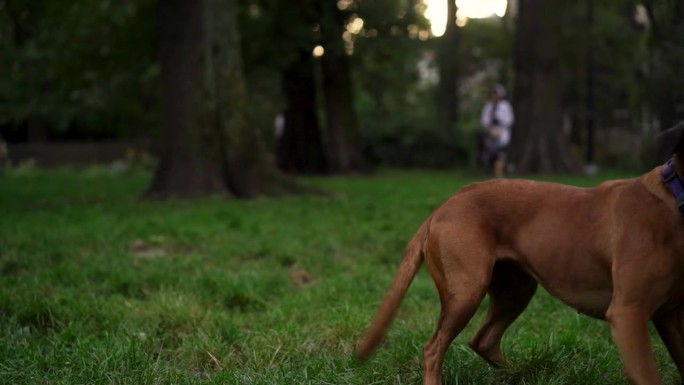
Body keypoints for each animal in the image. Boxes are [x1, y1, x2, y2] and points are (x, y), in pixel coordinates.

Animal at [356, 121, 684, 384]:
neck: (674, 198)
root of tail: (444, 206)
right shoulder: (629, 313)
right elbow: (648, 375)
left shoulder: (669, 315)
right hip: (467, 291)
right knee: (434, 347)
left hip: (516, 289)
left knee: (483, 339)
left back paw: (519, 373)